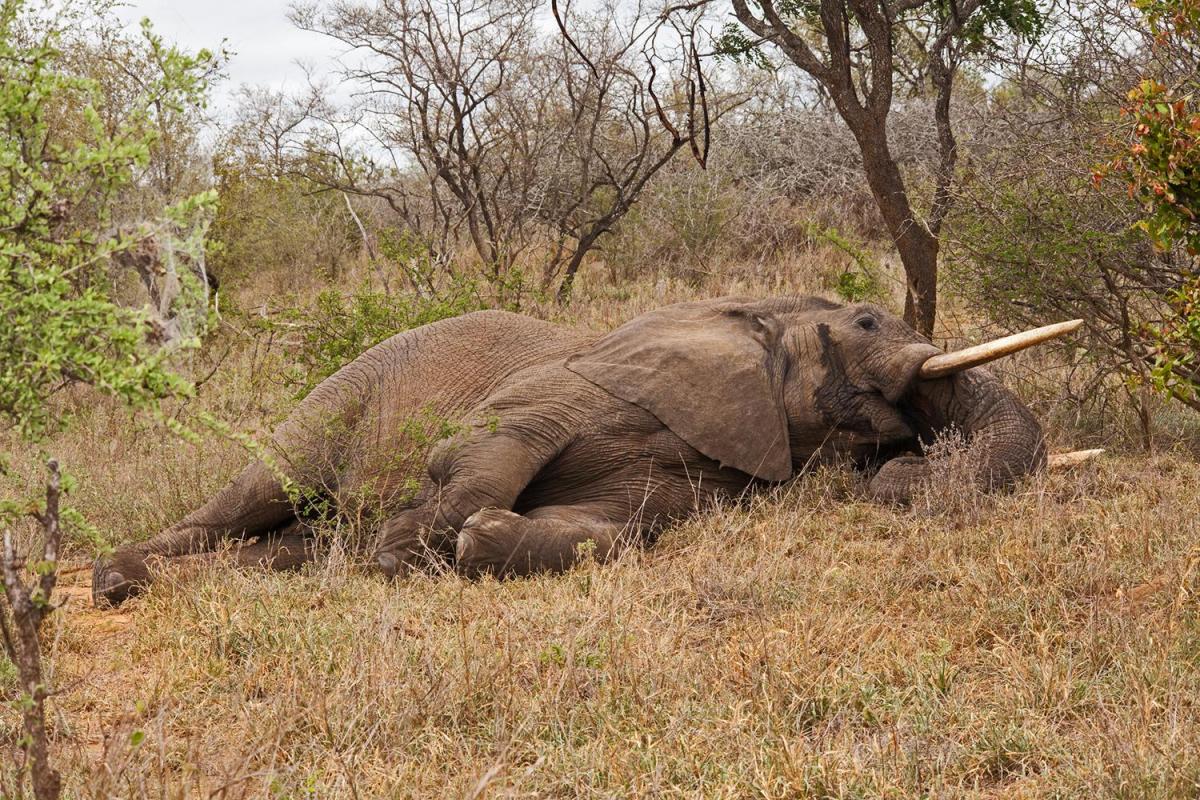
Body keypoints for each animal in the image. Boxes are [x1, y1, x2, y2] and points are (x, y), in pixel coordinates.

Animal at [92, 296, 1065, 607]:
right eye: (865, 323)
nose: (903, 468)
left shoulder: (705, 478)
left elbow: (616, 531)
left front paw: (475, 540)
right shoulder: (582, 383)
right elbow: (493, 441)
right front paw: (403, 551)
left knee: (286, 542)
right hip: (338, 396)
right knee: (257, 491)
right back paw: (113, 581)